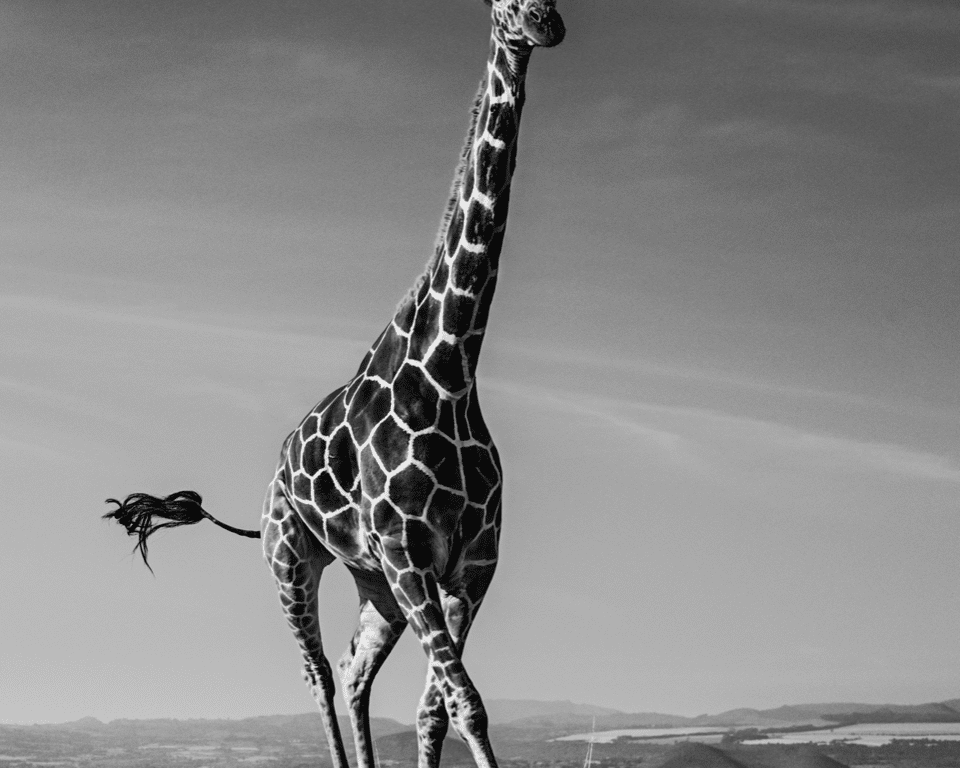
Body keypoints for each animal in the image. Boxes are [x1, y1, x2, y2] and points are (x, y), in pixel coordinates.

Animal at [104, 3, 565, 768]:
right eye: (503, 5)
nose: (544, 22)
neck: (451, 370)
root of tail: (269, 483)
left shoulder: (472, 567)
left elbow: (437, 709)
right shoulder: (411, 555)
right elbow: (467, 703)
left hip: (373, 584)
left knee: (353, 672)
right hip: (292, 561)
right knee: (317, 671)